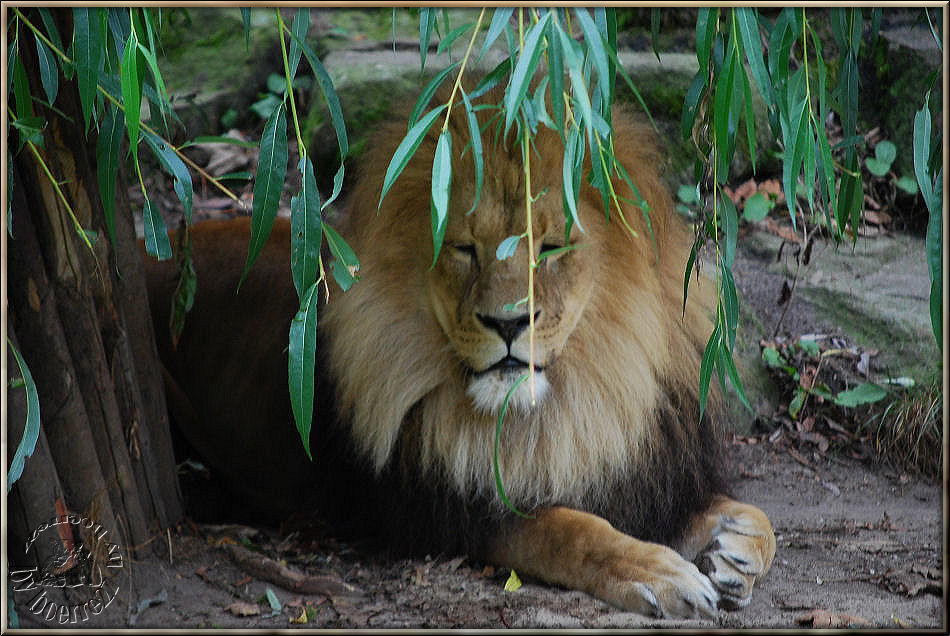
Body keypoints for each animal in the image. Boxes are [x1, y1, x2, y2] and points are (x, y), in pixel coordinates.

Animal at [145, 85, 776, 620]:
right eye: (464, 248)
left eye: (551, 247)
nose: (508, 322)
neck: (569, 405)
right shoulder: (451, 512)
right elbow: (572, 531)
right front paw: (659, 572)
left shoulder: (649, 473)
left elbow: (756, 515)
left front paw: (735, 551)